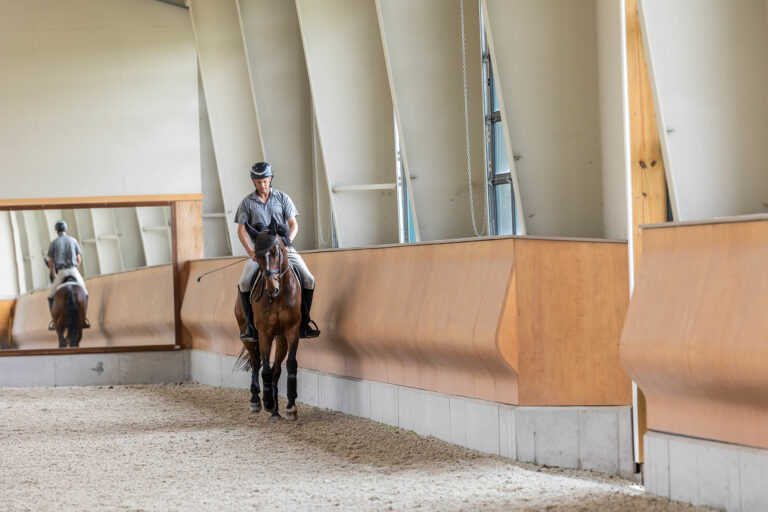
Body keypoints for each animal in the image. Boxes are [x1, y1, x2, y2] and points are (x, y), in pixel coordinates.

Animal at [236, 218, 302, 422]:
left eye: (276, 251)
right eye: (256, 256)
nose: (272, 288)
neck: (279, 296)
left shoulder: (292, 330)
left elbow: (290, 364)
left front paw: (291, 407)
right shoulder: (264, 332)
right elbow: (264, 367)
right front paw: (267, 402)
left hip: (280, 338)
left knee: (276, 369)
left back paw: (275, 410)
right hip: (250, 336)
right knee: (256, 362)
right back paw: (257, 401)